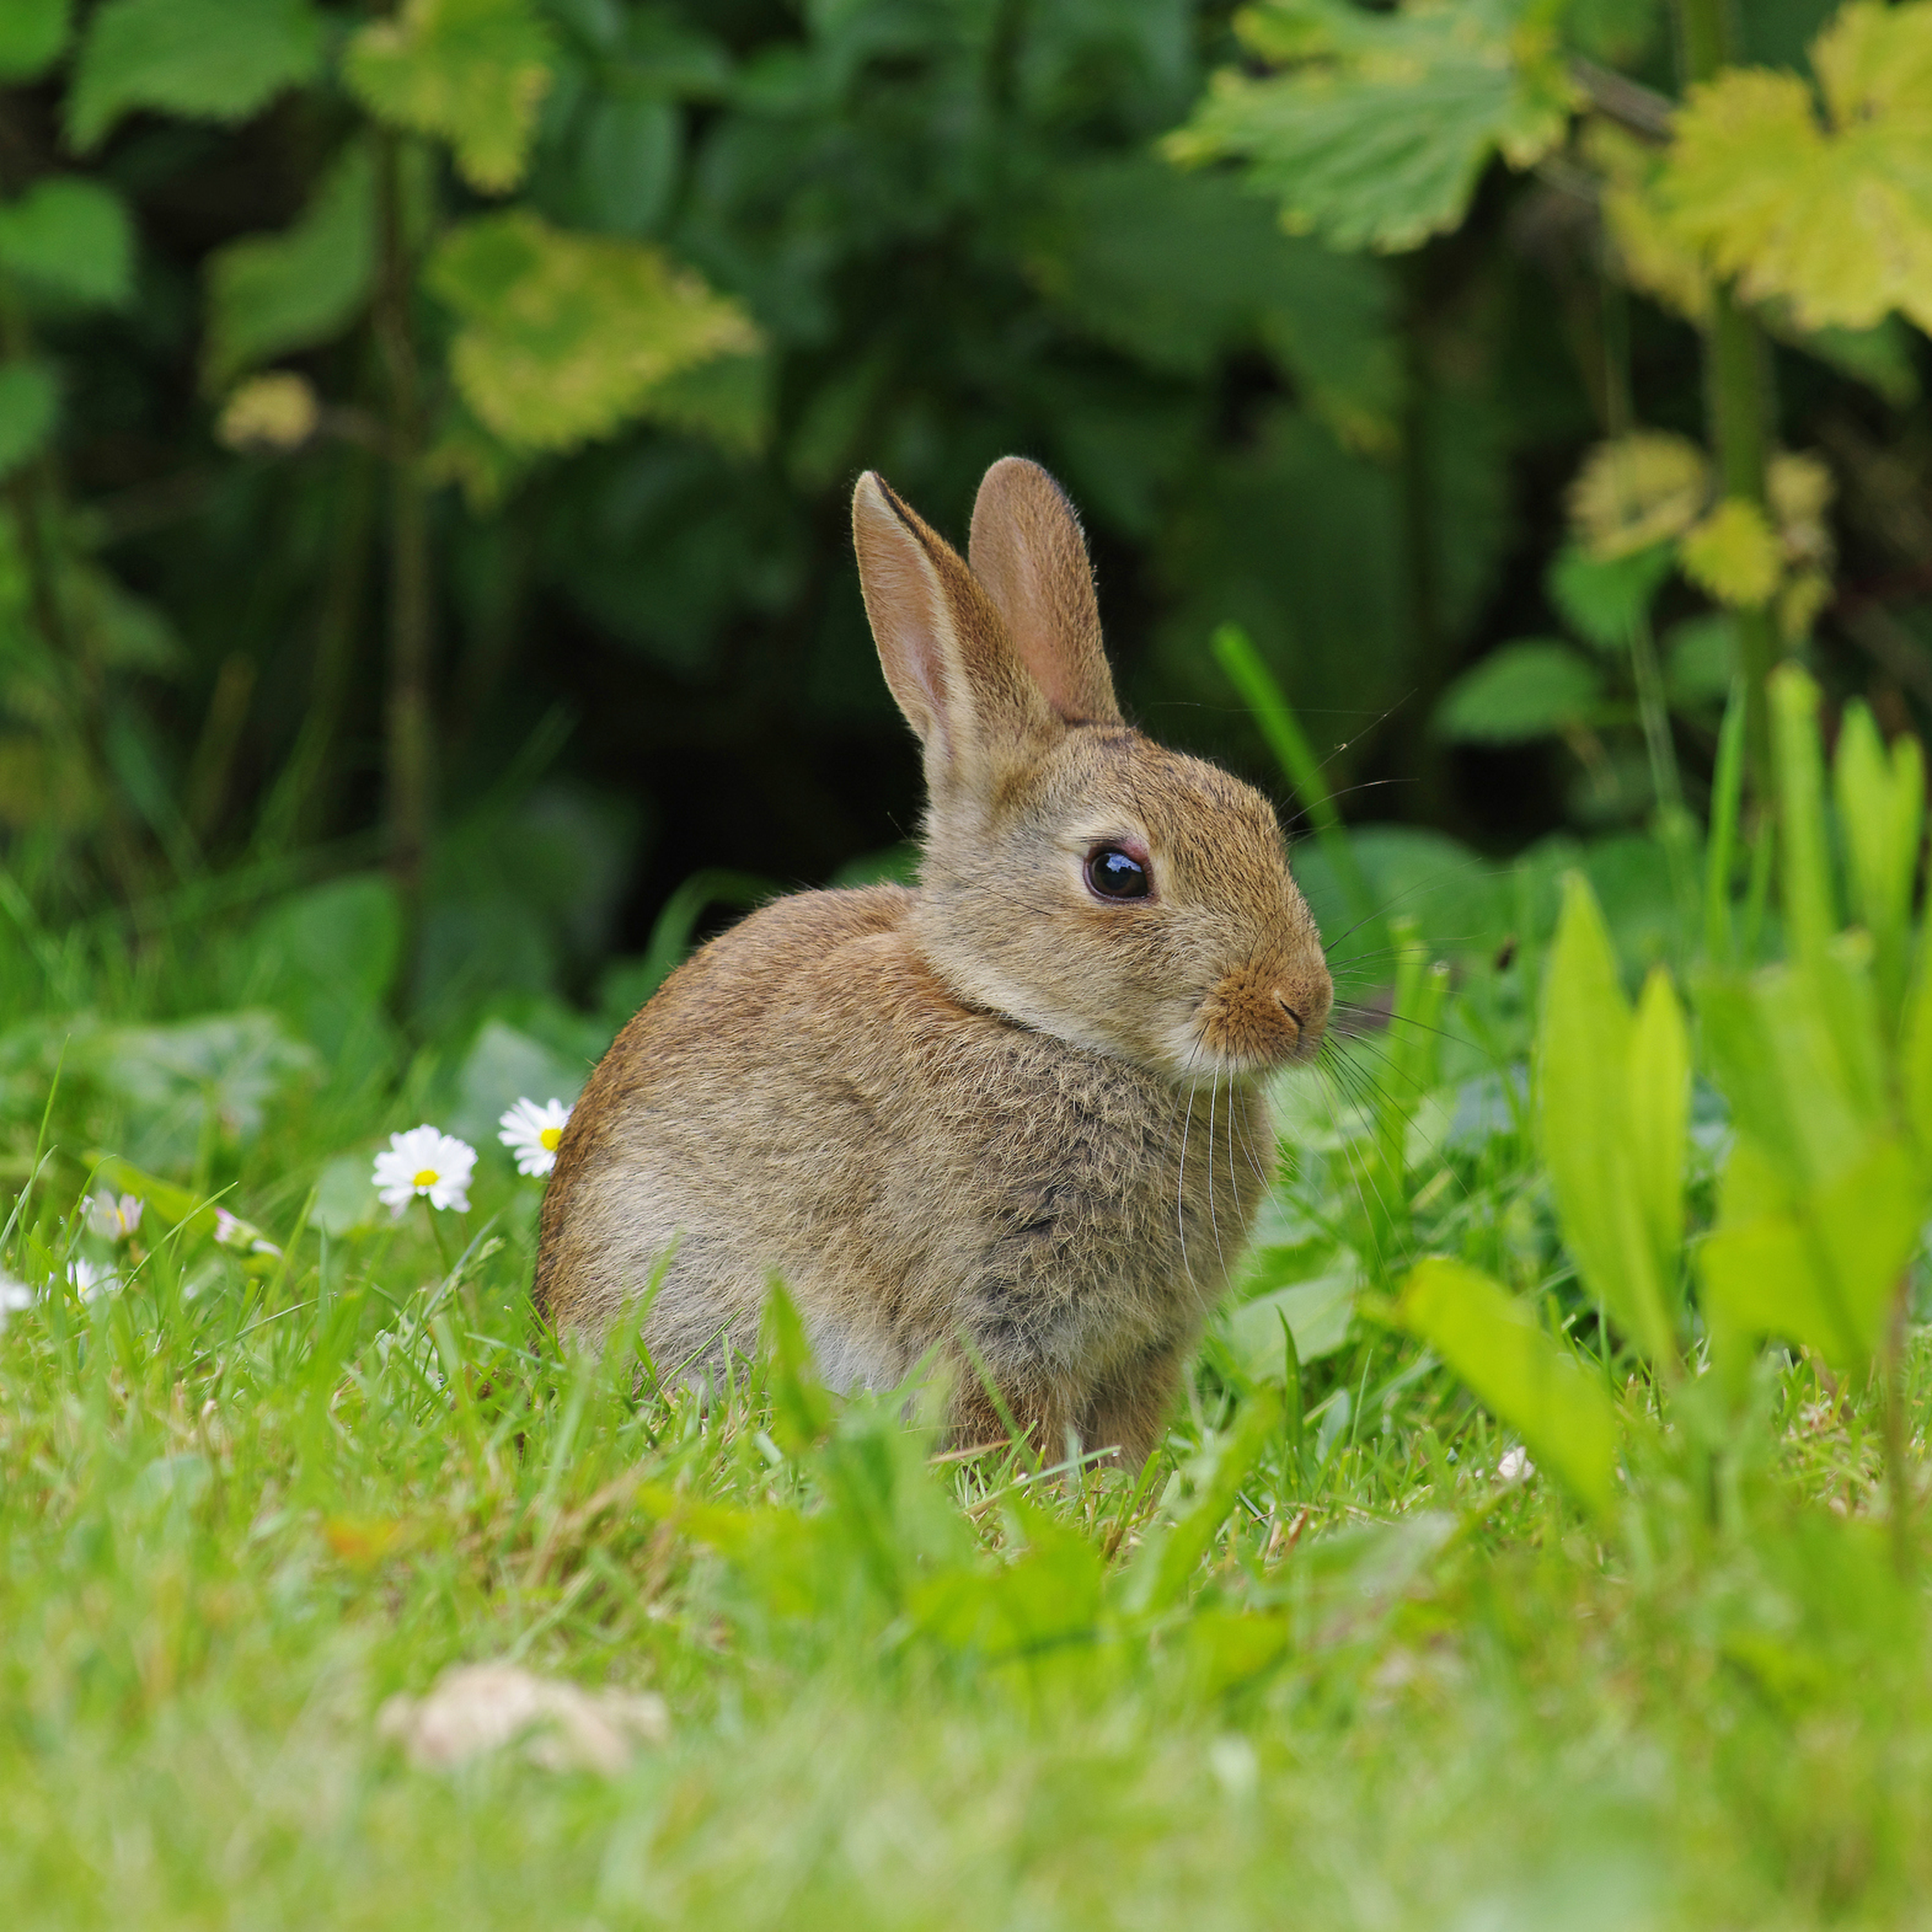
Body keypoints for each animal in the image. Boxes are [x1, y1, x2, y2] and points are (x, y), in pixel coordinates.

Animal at [534, 456, 1333, 1468]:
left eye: (1259, 819)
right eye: (1117, 873)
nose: (1302, 1005)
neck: (1022, 1019)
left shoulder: (1142, 1351)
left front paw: (1123, 1494)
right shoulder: (997, 1320)